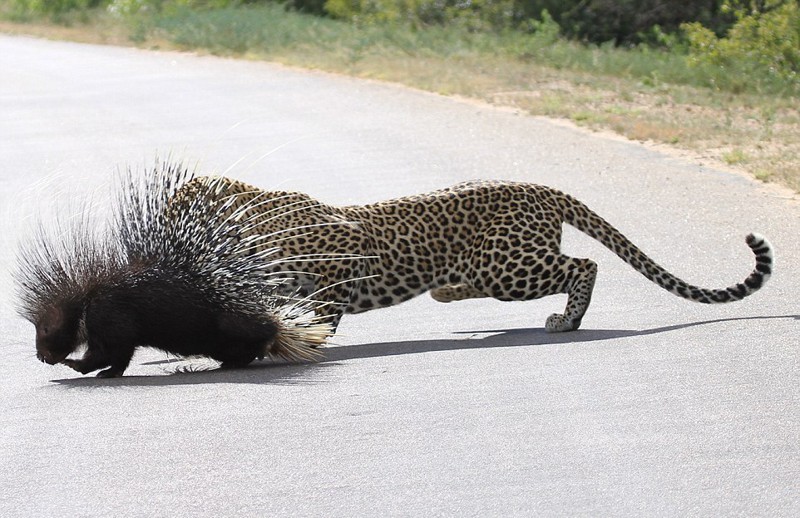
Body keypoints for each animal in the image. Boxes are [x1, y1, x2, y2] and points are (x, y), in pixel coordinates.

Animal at [172, 178, 772, 334]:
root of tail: (541, 188)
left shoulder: (340, 262)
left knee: (584, 265)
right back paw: (449, 290)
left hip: (509, 266)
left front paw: (313, 339)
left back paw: (567, 321)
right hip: (497, 266)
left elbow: (323, 311)